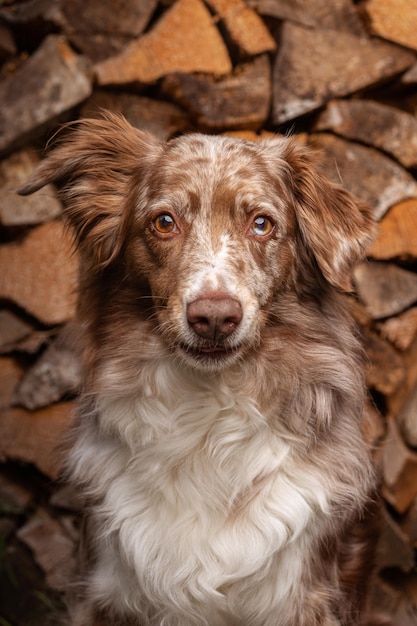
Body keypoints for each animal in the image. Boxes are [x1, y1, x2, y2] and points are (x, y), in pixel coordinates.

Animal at [19, 113, 376, 624]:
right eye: (164, 222)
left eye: (262, 224)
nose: (214, 317)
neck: (208, 411)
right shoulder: (107, 591)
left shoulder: (302, 594)